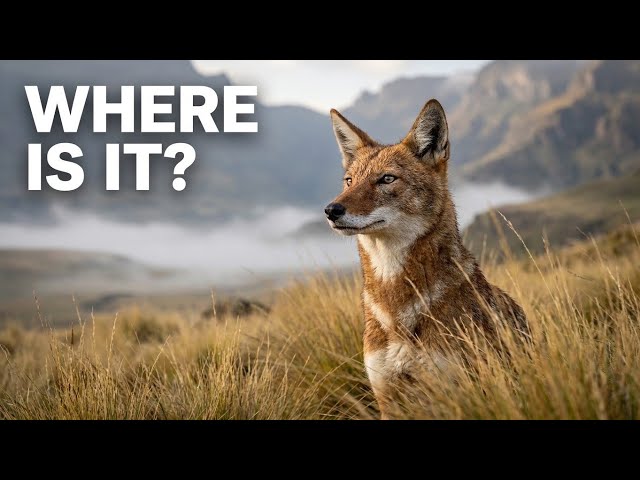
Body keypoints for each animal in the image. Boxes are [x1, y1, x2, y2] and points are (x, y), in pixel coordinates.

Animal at [325, 99, 528, 419]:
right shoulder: (387, 398)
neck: (395, 308)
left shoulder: (458, 392)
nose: (331, 210)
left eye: (386, 179)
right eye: (349, 181)